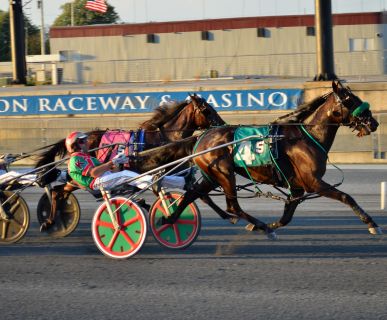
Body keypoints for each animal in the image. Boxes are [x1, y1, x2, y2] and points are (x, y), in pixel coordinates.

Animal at [34, 94, 226, 231]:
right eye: (207, 110)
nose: (222, 124)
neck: (163, 140)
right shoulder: (157, 171)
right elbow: (194, 193)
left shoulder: (173, 172)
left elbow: (195, 191)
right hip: (80, 177)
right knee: (58, 191)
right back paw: (50, 221)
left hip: (77, 180)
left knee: (59, 191)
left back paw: (53, 219)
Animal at [156, 81, 384, 239]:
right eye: (349, 100)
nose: (373, 123)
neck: (307, 137)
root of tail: (202, 137)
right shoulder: (313, 182)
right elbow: (347, 197)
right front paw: (372, 224)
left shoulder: (297, 187)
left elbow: (287, 216)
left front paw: (272, 226)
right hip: (224, 173)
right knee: (232, 206)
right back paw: (260, 225)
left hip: (212, 176)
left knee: (193, 193)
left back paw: (169, 218)